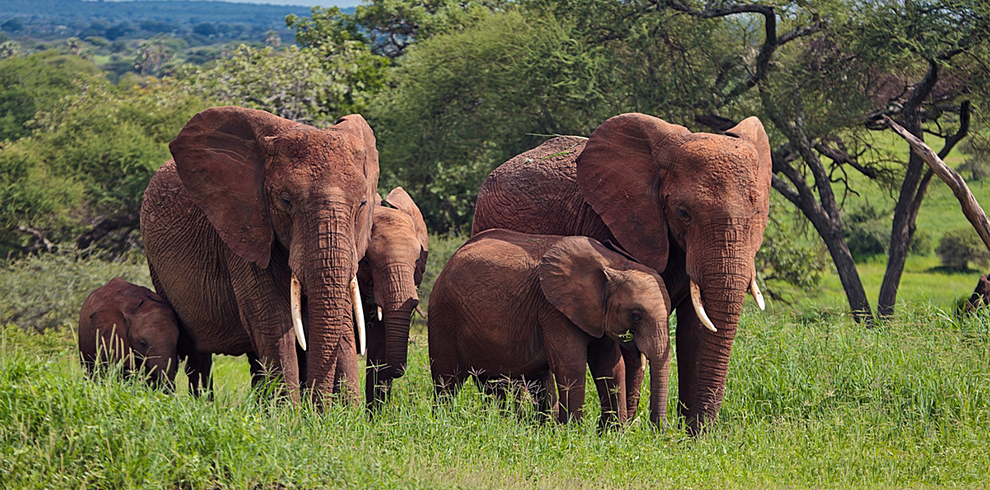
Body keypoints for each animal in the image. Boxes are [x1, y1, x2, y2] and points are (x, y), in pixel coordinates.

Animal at [143, 107, 380, 402]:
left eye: (362, 203)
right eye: (285, 200)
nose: (318, 408)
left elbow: (346, 318)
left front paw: (347, 412)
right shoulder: (244, 230)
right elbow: (273, 320)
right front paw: (290, 413)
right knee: (199, 355)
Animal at [428, 229, 676, 424]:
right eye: (636, 316)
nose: (658, 431)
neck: (613, 263)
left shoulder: (596, 313)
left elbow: (610, 367)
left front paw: (611, 434)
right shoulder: (554, 310)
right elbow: (571, 366)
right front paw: (574, 433)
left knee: (496, 384)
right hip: (444, 316)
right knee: (447, 380)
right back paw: (443, 422)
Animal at [474, 112, 776, 432]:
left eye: (758, 213)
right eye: (683, 213)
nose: (667, 430)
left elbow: (695, 331)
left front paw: (694, 434)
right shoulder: (614, 225)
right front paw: (622, 430)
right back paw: (514, 419)